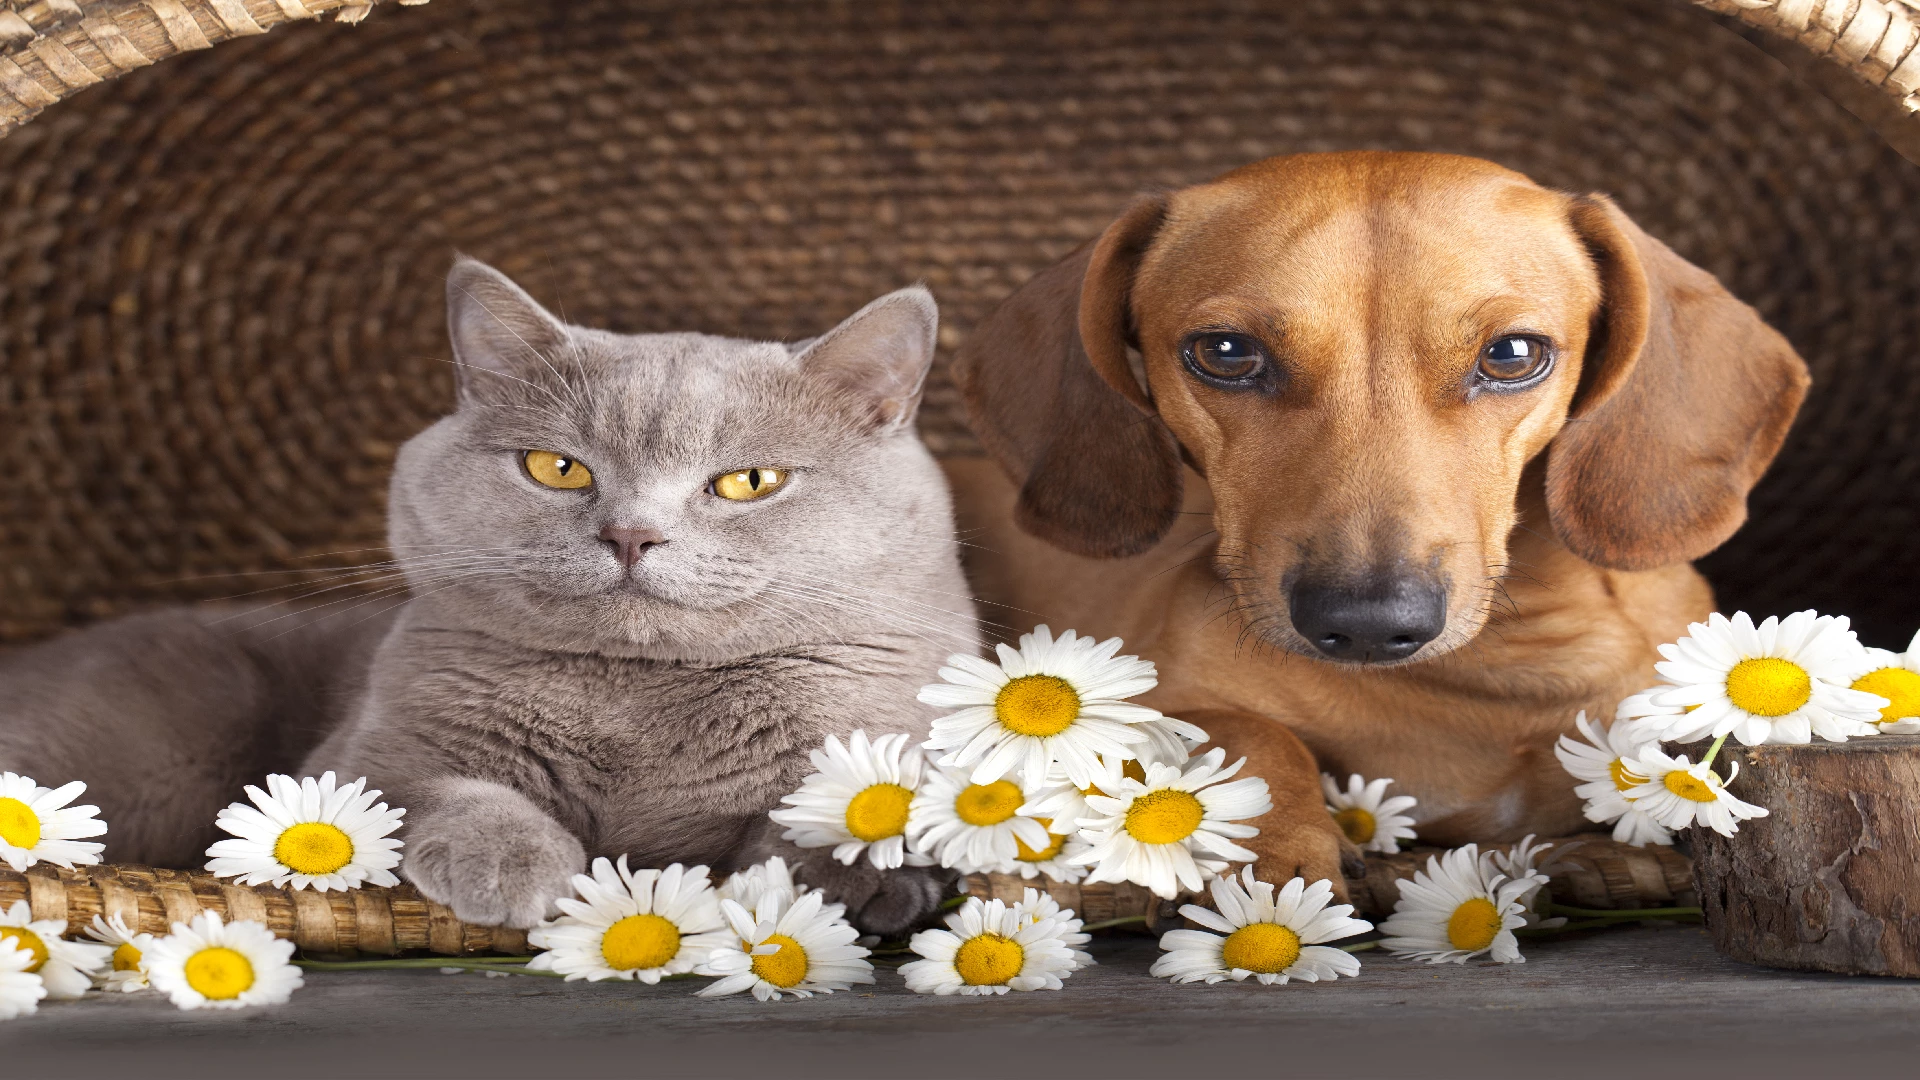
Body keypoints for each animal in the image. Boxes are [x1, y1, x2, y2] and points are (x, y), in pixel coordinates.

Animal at [0, 255, 975, 930]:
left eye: (749, 482)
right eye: (558, 468)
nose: (630, 533)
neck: (637, 701)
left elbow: (849, 804)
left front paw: (868, 879)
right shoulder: (356, 758)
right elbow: (435, 787)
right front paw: (519, 869)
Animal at [952, 151, 1804, 891]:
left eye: (1513, 353)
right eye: (1225, 351)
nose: (1367, 622)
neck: (1484, 680)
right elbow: (1250, 734)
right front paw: (1279, 856)